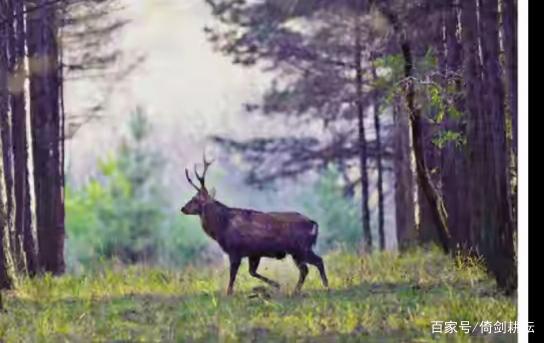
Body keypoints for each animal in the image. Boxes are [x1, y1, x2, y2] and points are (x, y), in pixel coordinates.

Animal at [181, 154, 330, 296]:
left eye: (195, 200)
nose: (183, 208)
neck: (222, 227)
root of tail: (313, 223)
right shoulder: (253, 253)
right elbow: (251, 272)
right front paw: (276, 284)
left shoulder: (235, 250)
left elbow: (233, 275)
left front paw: (228, 293)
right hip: (298, 251)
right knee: (308, 267)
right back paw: (300, 290)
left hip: (300, 247)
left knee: (314, 263)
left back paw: (322, 287)